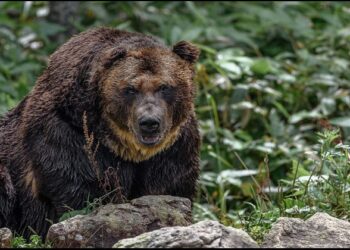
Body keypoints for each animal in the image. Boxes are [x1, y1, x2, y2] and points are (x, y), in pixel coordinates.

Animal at [0, 26, 200, 238]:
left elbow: (168, 186)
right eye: (130, 89)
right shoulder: (68, 131)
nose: (149, 122)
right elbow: (76, 187)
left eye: (164, 87)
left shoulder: (174, 147)